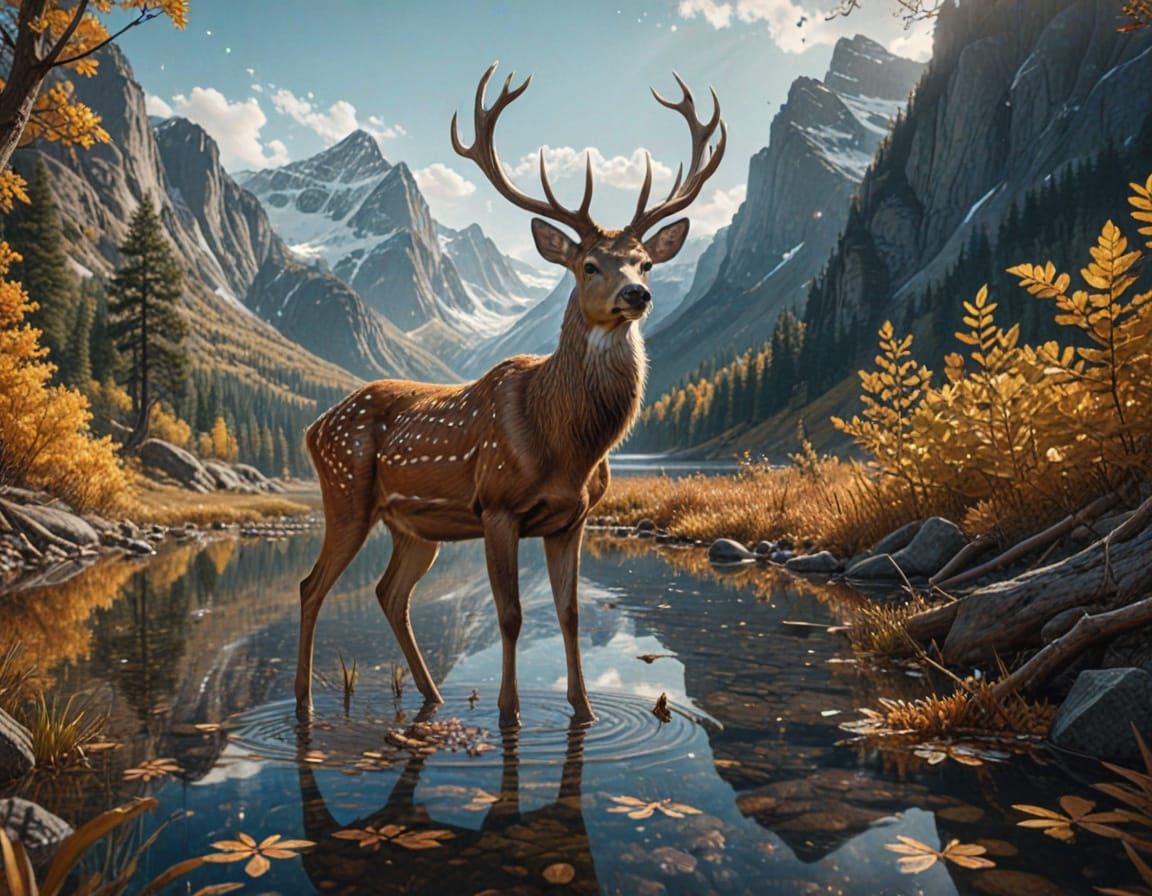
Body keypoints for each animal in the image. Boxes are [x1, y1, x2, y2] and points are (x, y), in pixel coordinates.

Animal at [295, 63, 725, 727]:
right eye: (589, 265)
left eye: (645, 263)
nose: (638, 295)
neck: (568, 445)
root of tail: (314, 427)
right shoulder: (496, 505)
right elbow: (512, 615)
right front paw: (509, 714)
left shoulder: (572, 518)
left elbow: (569, 613)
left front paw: (584, 711)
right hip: (346, 493)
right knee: (311, 586)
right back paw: (306, 705)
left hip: (415, 526)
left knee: (390, 593)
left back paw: (433, 696)